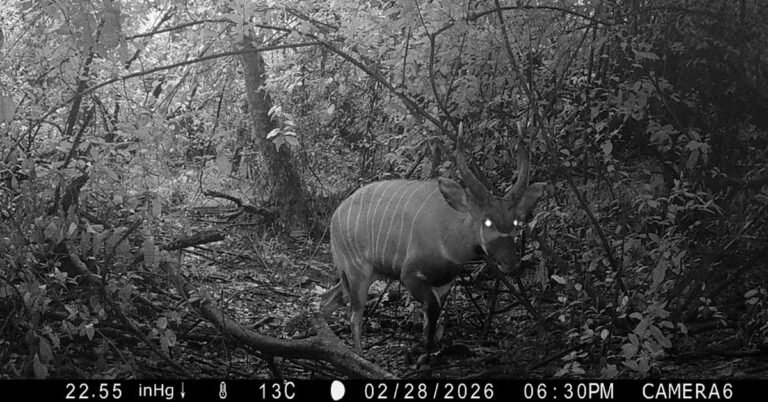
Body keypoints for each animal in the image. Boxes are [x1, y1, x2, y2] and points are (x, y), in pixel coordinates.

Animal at [321, 131, 549, 354]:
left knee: (327, 300)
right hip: (357, 271)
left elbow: (432, 322)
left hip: (367, 274)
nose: (511, 262)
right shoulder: (410, 275)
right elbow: (430, 310)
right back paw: (359, 357)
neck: (448, 235)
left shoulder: (444, 282)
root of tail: (335, 216)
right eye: (487, 221)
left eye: (516, 222)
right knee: (354, 316)